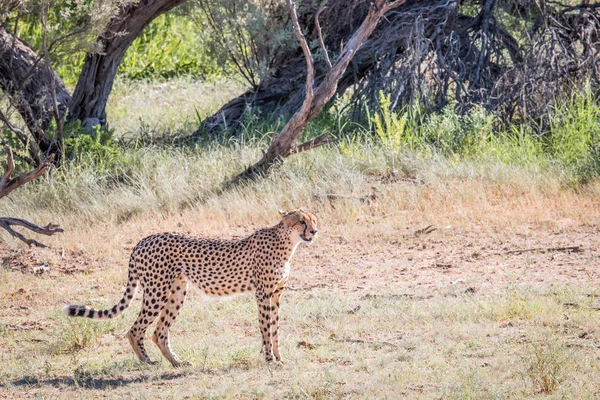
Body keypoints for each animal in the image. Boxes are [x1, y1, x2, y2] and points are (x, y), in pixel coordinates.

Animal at [63, 208, 318, 368]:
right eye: (301, 221)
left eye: (314, 220)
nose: (314, 231)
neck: (287, 243)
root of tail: (143, 240)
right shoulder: (263, 294)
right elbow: (266, 327)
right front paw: (269, 360)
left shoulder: (276, 293)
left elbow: (275, 328)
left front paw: (278, 358)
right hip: (157, 292)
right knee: (135, 330)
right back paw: (148, 362)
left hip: (176, 292)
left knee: (159, 332)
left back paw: (177, 363)